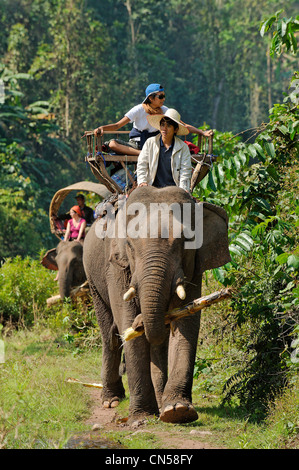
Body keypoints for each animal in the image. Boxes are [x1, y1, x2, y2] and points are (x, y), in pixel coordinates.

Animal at [83, 185, 231, 424]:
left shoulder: (194, 267)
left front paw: (177, 411)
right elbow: (127, 322)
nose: (141, 321)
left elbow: (187, 322)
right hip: (93, 277)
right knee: (110, 335)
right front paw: (141, 417)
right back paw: (111, 400)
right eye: (130, 245)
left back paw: (161, 401)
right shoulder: (117, 267)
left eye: (186, 241)